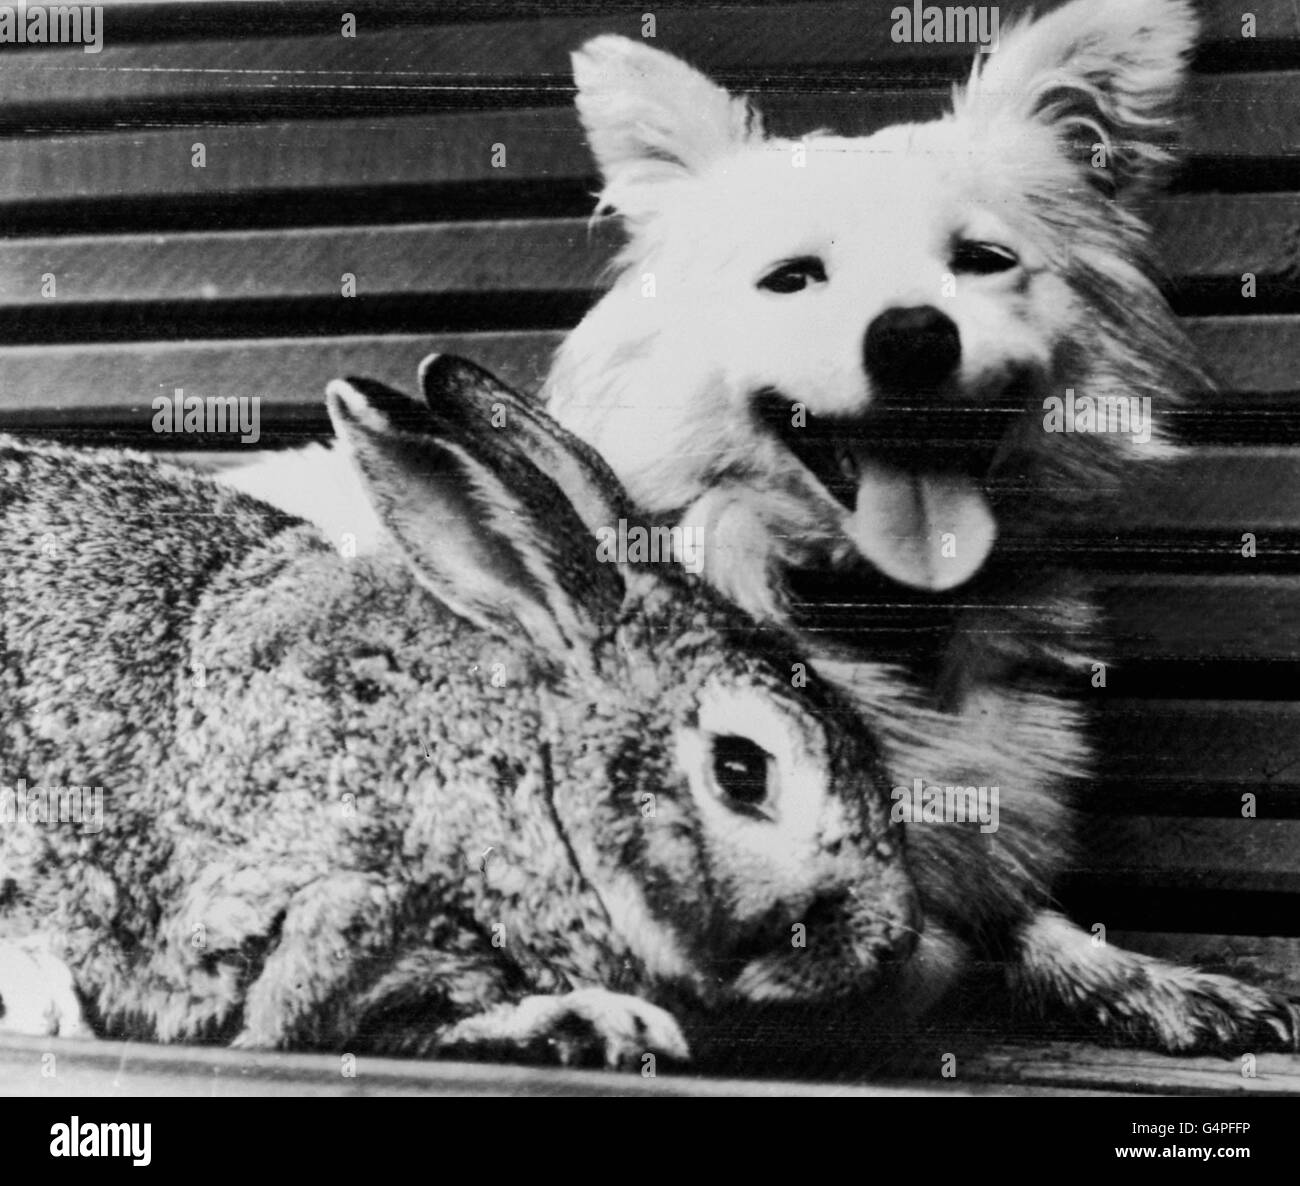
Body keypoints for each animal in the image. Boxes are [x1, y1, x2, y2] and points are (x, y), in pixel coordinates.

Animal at [0, 356, 920, 1071]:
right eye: (741, 769)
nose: (892, 939)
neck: (529, 768)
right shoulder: (345, 894)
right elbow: (294, 1014)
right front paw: (595, 1021)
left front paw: (594, 1025)